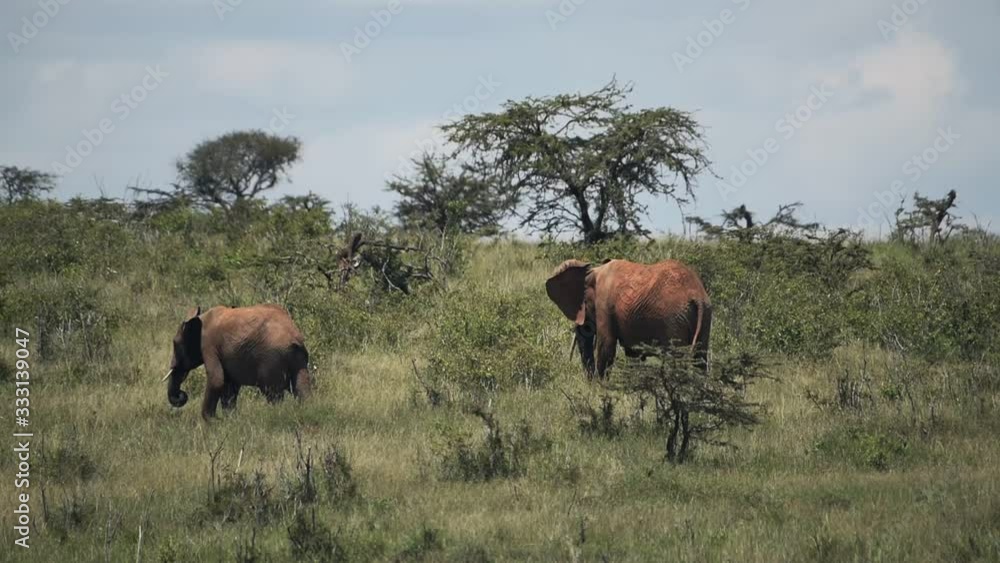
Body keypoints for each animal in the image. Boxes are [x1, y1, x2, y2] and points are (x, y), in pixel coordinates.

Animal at [163, 304, 311, 420]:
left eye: (175, 344)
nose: (182, 395)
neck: (200, 319)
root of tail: (293, 336)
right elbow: (229, 387)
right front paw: (230, 420)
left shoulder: (209, 345)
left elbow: (217, 379)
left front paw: (213, 421)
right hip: (298, 358)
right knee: (301, 390)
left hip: (272, 358)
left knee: (273, 394)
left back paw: (275, 416)